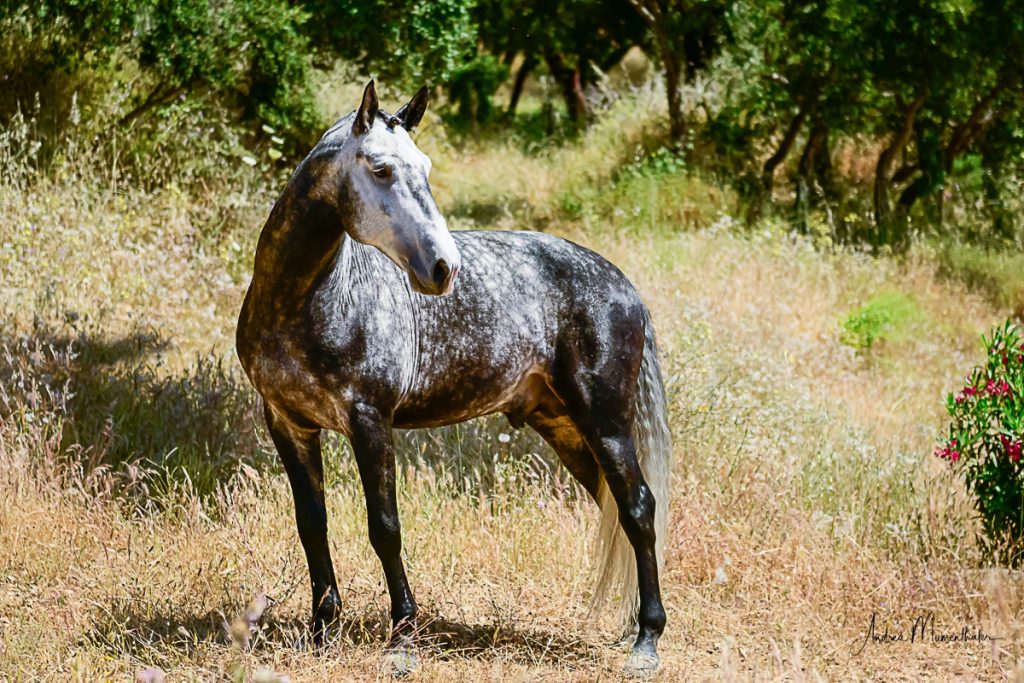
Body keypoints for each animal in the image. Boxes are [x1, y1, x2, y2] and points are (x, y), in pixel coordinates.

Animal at [235, 82, 675, 675]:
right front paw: (322, 631)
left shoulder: (370, 422)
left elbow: (385, 528)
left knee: (639, 509)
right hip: (566, 429)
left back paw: (646, 642)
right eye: (380, 169)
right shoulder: (289, 424)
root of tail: (622, 285)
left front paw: (402, 639)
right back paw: (633, 626)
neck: (308, 301)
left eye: (425, 167)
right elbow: (312, 525)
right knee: (618, 510)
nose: (444, 268)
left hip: (606, 423)